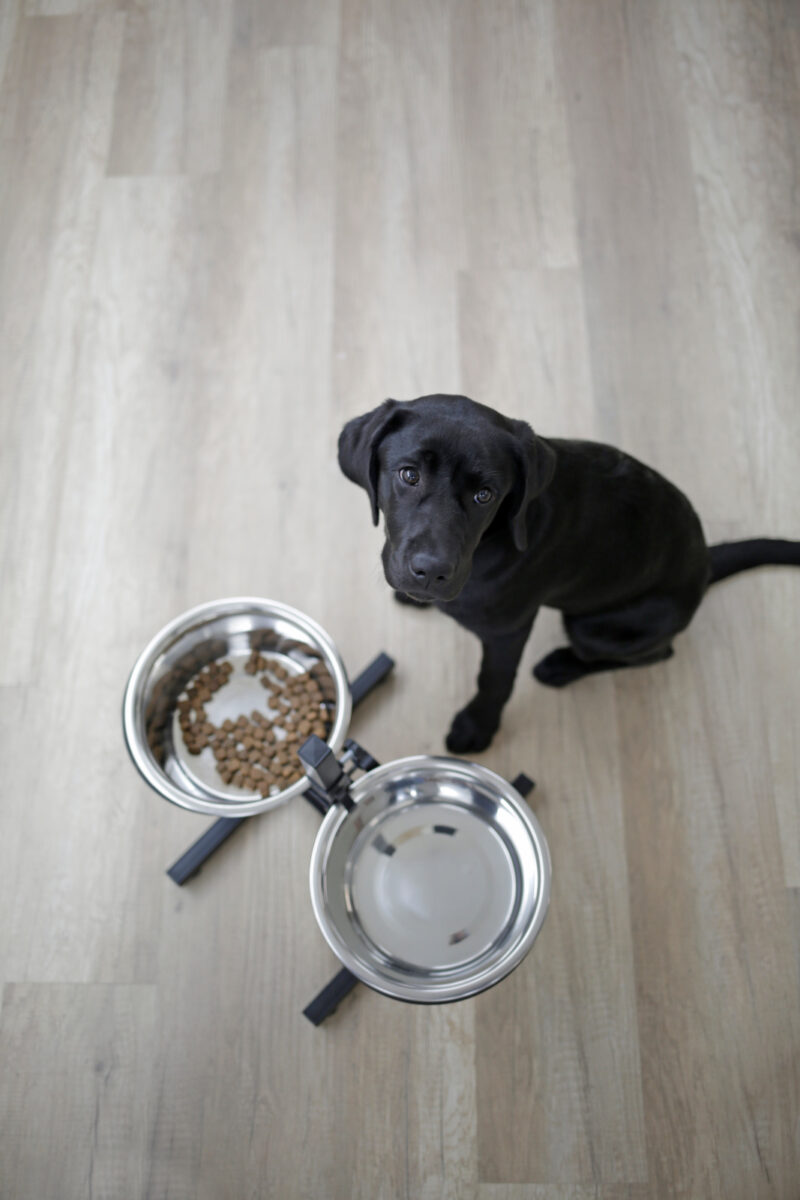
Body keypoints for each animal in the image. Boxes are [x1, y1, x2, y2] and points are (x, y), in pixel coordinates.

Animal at [338, 393, 800, 748]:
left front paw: (476, 728)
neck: (490, 543)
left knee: (655, 654)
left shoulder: (508, 631)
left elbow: (493, 681)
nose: (431, 572)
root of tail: (704, 562)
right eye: (408, 474)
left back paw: (560, 666)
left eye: (485, 494)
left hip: (594, 626)